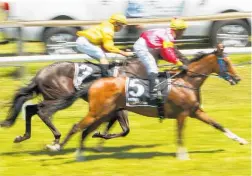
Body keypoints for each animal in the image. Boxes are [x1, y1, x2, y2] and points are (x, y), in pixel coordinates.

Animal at [45, 48, 248, 160]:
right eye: (226, 62)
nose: (237, 78)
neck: (186, 82)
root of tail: (94, 83)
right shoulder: (182, 114)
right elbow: (180, 135)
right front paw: (182, 155)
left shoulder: (195, 111)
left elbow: (218, 124)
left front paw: (241, 140)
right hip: (97, 112)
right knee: (76, 127)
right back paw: (57, 147)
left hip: (103, 113)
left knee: (86, 131)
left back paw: (80, 153)